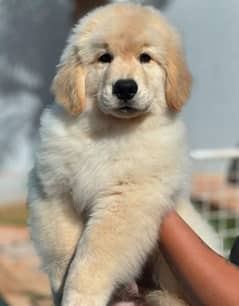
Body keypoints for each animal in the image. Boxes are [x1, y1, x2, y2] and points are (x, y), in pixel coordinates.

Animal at [27, 2, 220, 306]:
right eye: (104, 58)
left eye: (145, 58)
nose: (125, 87)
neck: (110, 131)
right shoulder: (53, 190)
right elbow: (62, 250)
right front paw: (59, 288)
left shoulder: (127, 198)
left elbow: (92, 257)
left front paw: (80, 297)